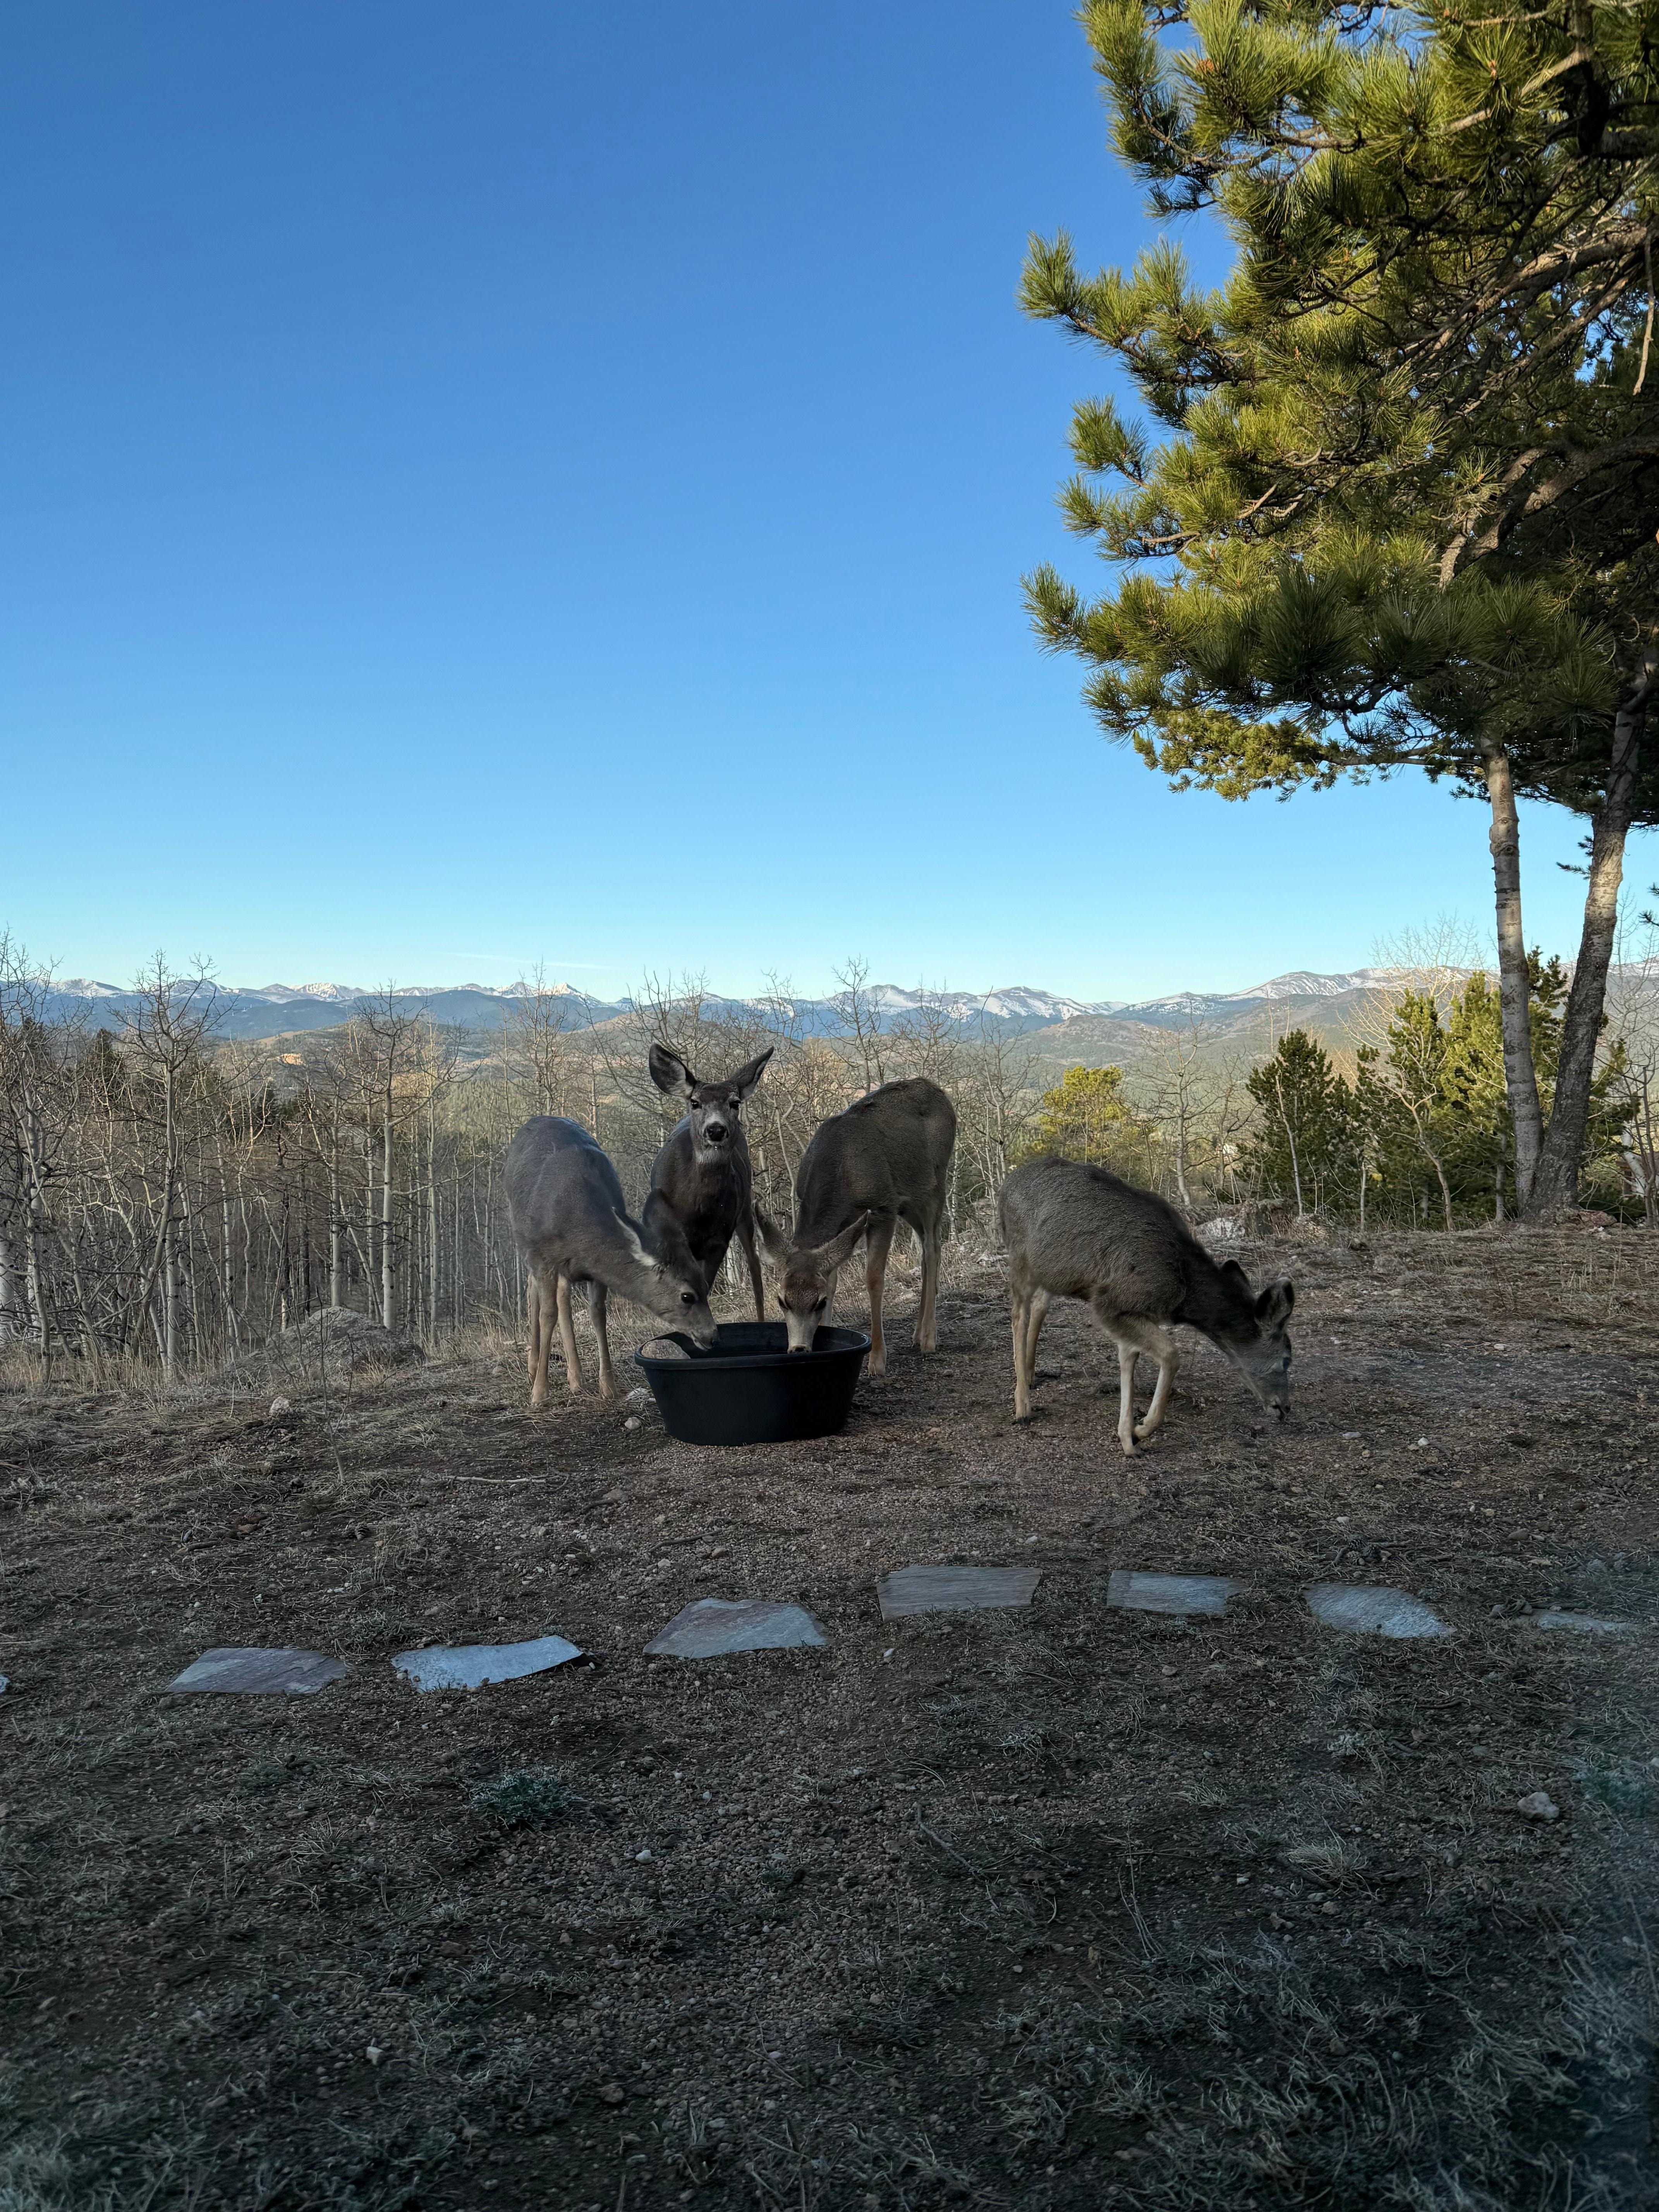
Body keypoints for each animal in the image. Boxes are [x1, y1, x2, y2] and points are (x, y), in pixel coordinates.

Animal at [505, 1116, 716, 1407]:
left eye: (705, 1285)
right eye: (687, 1296)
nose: (712, 1336)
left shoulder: (595, 1272)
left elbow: (598, 1314)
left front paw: (608, 1388)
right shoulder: (543, 1257)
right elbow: (547, 1314)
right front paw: (539, 1393)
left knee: (563, 1297)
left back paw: (576, 1379)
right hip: (525, 1243)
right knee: (533, 1292)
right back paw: (533, 1368)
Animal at [645, 1042, 773, 1320]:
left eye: (735, 1103)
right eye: (695, 1102)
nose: (716, 1130)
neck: (696, 1211)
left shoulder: (719, 1239)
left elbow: (704, 1287)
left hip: (744, 1208)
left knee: (755, 1264)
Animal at [754, 1076, 956, 1373]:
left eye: (819, 1302)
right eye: (782, 1300)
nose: (799, 1349)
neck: (843, 1174)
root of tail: (936, 1089)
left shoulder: (883, 1206)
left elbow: (874, 1279)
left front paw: (877, 1360)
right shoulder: (845, 1224)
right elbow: (833, 1278)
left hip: (935, 1184)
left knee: (933, 1247)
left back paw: (929, 1337)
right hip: (909, 1203)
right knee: (923, 1250)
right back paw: (918, 1334)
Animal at [998, 1157, 1294, 1455]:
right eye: (1286, 1359)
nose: (1284, 1407)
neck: (1183, 1289)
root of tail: (1006, 1185)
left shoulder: (1131, 1312)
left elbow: (1129, 1359)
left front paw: (1128, 1437)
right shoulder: (1112, 1302)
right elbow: (1171, 1355)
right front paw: (1142, 1429)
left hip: (1052, 1272)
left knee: (1039, 1305)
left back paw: (1031, 1374)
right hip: (1019, 1256)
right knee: (1018, 1314)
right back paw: (1022, 1405)